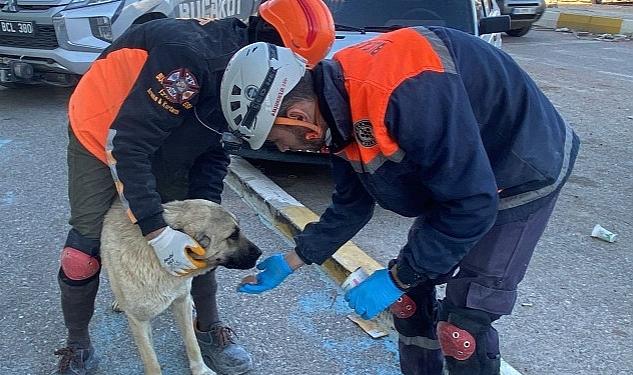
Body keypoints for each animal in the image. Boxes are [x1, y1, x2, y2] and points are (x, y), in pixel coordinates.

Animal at [101, 198, 262, 374]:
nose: (260, 253)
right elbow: (151, 361)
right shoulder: (139, 321)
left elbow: (192, 343)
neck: (157, 258)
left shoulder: (181, 302)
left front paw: (201, 370)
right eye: (232, 236)